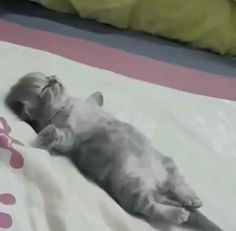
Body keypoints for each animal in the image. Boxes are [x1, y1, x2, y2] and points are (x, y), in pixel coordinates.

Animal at [6, 71, 203, 224]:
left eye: (48, 77)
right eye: (45, 88)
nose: (55, 79)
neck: (65, 105)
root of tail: (158, 185)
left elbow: (93, 99)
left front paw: (98, 96)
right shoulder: (70, 137)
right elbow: (55, 133)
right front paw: (44, 137)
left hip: (166, 163)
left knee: (178, 185)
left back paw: (192, 199)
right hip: (132, 184)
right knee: (146, 206)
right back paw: (177, 214)